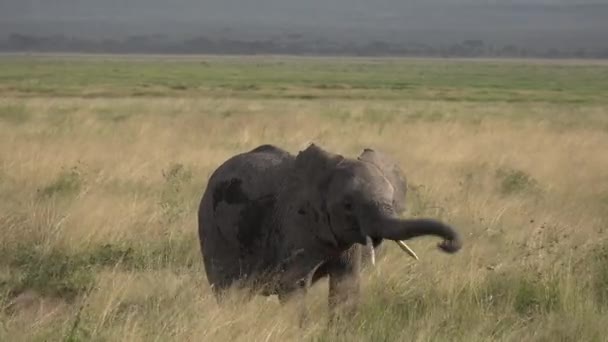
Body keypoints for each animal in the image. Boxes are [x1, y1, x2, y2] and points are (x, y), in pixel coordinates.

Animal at [197, 143, 464, 322]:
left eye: (392, 201)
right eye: (348, 206)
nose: (445, 245)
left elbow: (346, 285)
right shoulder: (295, 224)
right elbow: (293, 285)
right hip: (212, 229)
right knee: (229, 291)